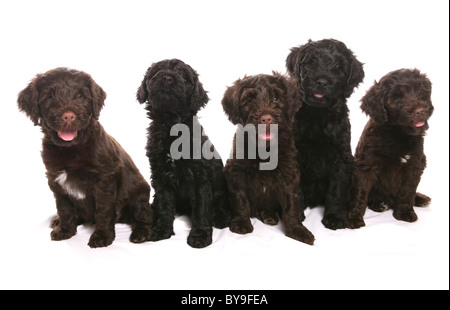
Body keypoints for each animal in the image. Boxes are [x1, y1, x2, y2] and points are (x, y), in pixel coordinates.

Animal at [17, 67, 152, 247]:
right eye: (50, 97)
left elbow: (104, 210)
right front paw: (65, 230)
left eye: (80, 96)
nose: (68, 116)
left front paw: (102, 236)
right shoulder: (55, 179)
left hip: (139, 194)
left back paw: (141, 233)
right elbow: (64, 208)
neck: (71, 148)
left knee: (142, 215)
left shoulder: (105, 178)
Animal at [136, 57, 229, 247]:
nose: (167, 78)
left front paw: (200, 235)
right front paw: (161, 230)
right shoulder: (160, 174)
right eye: (156, 71)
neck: (171, 126)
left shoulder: (200, 178)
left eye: (184, 76)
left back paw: (221, 217)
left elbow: (201, 208)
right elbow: (164, 204)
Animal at [223, 72, 314, 245]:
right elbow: (240, 199)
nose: (266, 119)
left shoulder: (288, 173)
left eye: (276, 98)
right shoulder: (236, 172)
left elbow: (290, 204)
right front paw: (241, 223)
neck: (264, 149)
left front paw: (297, 230)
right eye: (249, 101)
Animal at [286, 38, 364, 229]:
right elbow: (296, 189)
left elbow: (337, 190)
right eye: (312, 61)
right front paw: (296, 215)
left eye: (338, 67)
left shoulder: (341, 157)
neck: (317, 115)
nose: (322, 81)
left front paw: (335, 217)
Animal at [348, 68, 432, 228]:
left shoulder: (415, 164)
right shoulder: (365, 166)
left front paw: (405, 213)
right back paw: (379, 204)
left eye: (421, 91)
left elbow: (408, 191)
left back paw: (420, 199)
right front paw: (354, 218)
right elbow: (360, 193)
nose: (420, 110)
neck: (398, 134)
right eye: (397, 98)